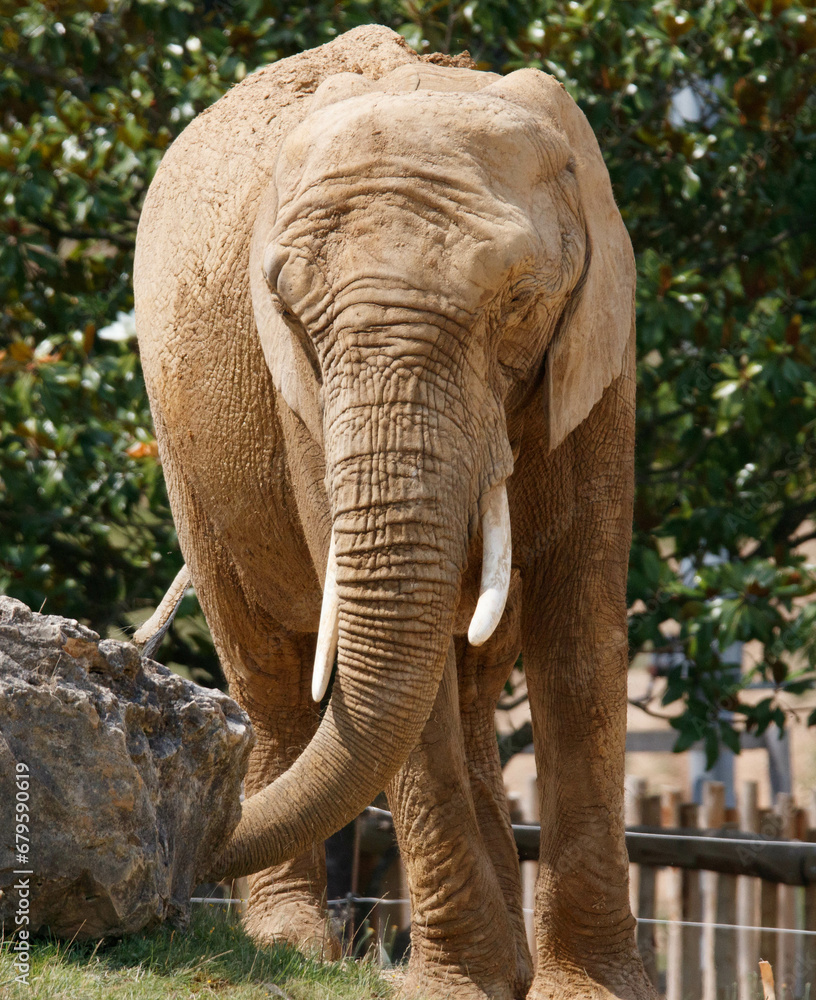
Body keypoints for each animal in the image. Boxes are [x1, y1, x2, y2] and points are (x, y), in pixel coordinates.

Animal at [134, 23, 657, 1000]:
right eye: (293, 311)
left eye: (519, 301)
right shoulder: (297, 399)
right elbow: (410, 703)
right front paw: (462, 987)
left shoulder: (601, 351)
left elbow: (584, 633)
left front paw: (590, 989)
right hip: (183, 443)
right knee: (271, 676)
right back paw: (298, 948)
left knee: (477, 677)